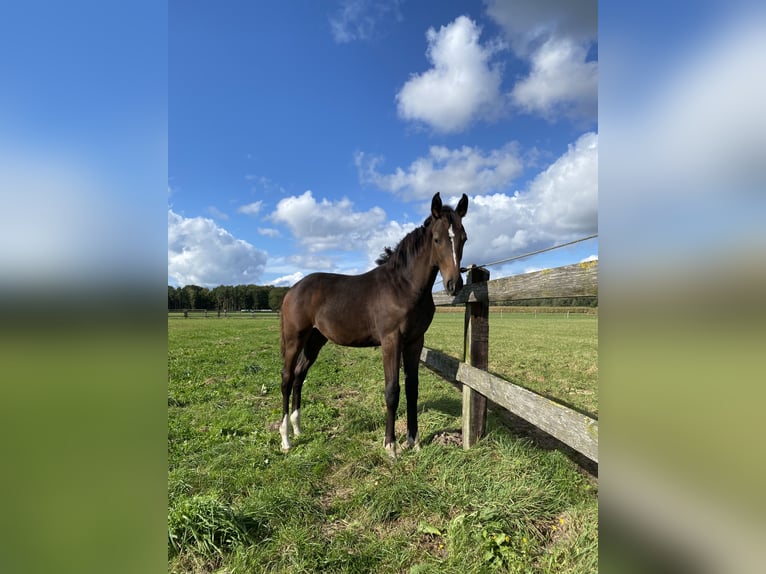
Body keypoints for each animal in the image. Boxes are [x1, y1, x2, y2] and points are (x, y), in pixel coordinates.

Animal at [280, 194, 464, 460]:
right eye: (437, 239)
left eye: (464, 238)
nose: (453, 285)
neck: (404, 286)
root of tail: (293, 289)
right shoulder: (391, 341)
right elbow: (392, 391)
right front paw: (391, 446)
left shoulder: (415, 341)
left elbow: (412, 389)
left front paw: (414, 441)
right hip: (295, 338)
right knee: (286, 377)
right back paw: (285, 439)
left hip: (315, 340)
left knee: (298, 375)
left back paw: (297, 429)